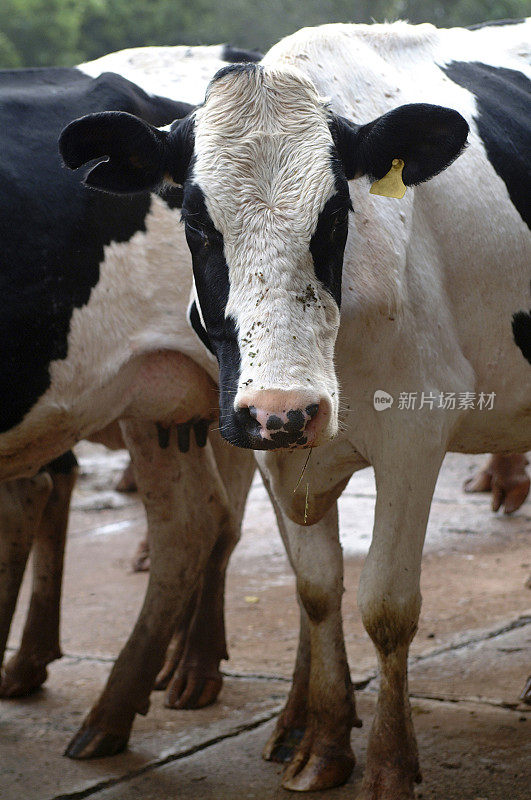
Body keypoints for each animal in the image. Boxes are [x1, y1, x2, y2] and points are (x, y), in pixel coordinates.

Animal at [63, 18, 531, 800]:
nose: (285, 409)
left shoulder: (415, 434)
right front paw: (323, 745)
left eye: (336, 212)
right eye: (195, 220)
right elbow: (316, 591)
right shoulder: (269, 445)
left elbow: (387, 606)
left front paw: (389, 767)